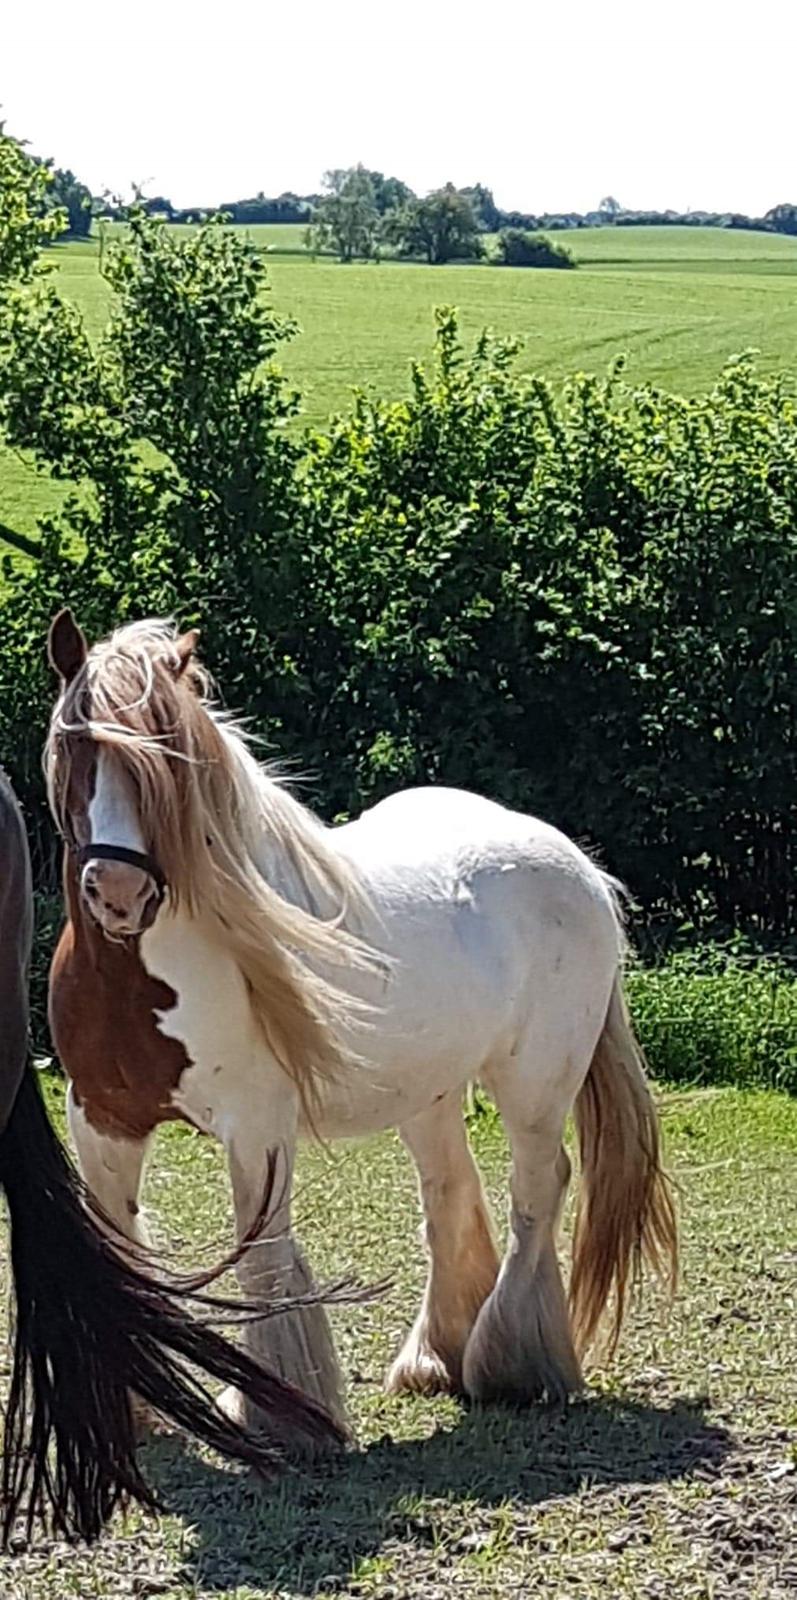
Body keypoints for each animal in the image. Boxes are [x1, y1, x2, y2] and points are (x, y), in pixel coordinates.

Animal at [45, 608, 678, 1440]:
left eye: (167, 761)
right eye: (74, 746)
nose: (118, 893)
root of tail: (579, 867)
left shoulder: (256, 1127)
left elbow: (262, 1259)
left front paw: (278, 1412)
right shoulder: (102, 1119)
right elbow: (119, 1251)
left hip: (535, 1084)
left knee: (536, 1191)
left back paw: (510, 1365)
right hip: (430, 1094)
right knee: (449, 1191)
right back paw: (436, 1359)